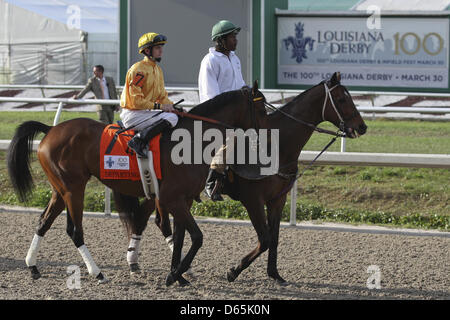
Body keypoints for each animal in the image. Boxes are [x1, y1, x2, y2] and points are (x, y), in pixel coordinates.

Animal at [7, 82, 268, 284]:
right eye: (262, 109)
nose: (265, 138)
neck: (191, 141)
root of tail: (51, 129)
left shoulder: (180, 200)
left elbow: (179, 236)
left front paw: (177, 274)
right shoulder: (172, 198)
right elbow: (196, 237)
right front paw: (176, 274)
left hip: (60, 190)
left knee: (43, 222)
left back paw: (32, 266)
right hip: (73, 188)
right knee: (75, 231)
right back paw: (98, 273)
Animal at [148, 72, 366, 282]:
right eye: (341, 99)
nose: (362, 127)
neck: (277, 147)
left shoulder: (278, 199)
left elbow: (274, 238)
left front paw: (274, 273)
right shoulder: (253, 200)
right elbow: (265, 239)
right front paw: (234, 270)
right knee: (164, 223)